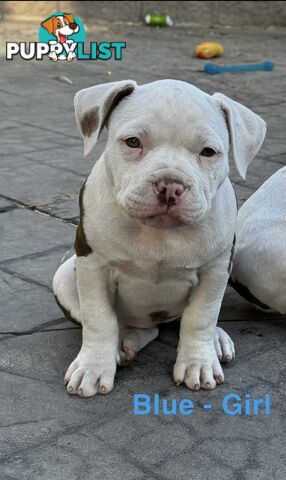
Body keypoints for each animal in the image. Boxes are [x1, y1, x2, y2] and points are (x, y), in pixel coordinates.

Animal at [53, 79, 266, 398]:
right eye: (132, 142)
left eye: (208, 152)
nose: (170, 185)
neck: (159, 233)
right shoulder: (93, 266)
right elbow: (99, 318)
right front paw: (93, 367)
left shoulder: (216, 269)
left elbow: (201, 317)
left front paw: (198, 362)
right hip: (65, 276)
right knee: (132, 326)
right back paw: (123, 344)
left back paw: (214, 340)